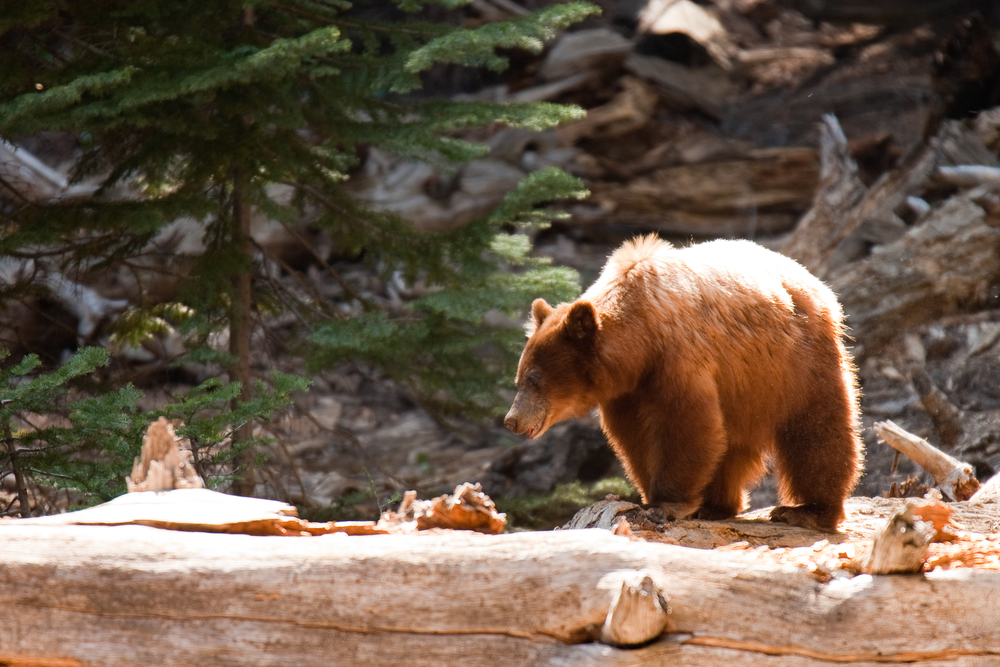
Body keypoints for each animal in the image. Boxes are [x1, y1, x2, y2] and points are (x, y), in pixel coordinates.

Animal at [504, 235, 864, 532]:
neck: (639, 340)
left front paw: (665, 504)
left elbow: (687, 424)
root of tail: (816, 283)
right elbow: (633, 437)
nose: (512, 420)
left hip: (797, 365)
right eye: (519, 378)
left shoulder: (677, 358)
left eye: (535, 379)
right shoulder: (628, 391)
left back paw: (807, 511)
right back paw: (717, 505)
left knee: (817, 432)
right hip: (746, 388)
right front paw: (648, 496)